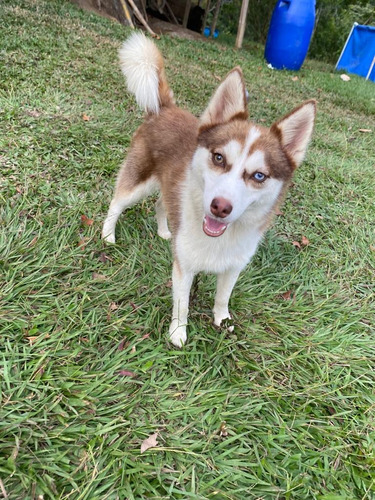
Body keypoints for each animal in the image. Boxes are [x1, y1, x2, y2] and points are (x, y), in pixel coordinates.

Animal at [101, 32, 316, 348]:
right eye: (219, 158)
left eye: (259, 175)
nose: (220, 206)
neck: (219, 239)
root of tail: (166, 108)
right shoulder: (184, 267)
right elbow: (182, 305)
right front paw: (178, 333)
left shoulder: (233, 267)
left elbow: (222, 297)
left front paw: (222, 320)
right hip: (138, 181)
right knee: (117, 203)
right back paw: (108, 235)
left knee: (161, 204)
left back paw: (165, 231)